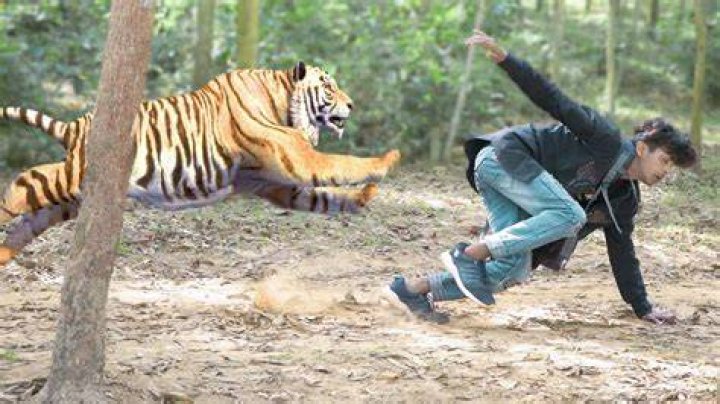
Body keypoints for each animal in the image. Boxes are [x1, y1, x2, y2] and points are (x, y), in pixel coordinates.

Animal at [0, 62, 401, 265]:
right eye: (328, 87)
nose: (351, 105)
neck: (283, 101)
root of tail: (75, 125)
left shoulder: (274, 185)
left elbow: (323, 197)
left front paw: (363, 197)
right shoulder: (299, 158)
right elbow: (342, 163)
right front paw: (387, 160)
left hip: (72, 200)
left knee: (28, 220)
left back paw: (4, 255)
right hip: (73, 176)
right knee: (24, 182)